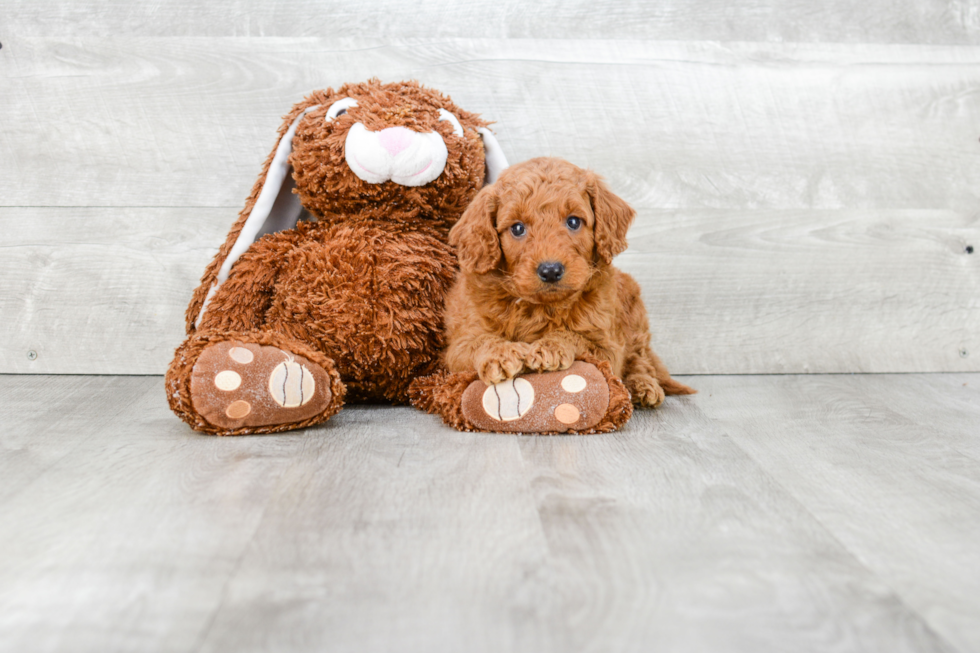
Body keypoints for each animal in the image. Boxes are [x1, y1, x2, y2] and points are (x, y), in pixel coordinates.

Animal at [440, 155, 692, 404]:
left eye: (573, 222)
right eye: (517, 228)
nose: (551, 270)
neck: (541, 307)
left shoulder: (607, 347)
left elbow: (576, 337)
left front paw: (551, 346)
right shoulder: (460, 345)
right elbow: (481, 342)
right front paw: (501, 354)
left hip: (635, 316)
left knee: (640, 359)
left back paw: (644, 386)